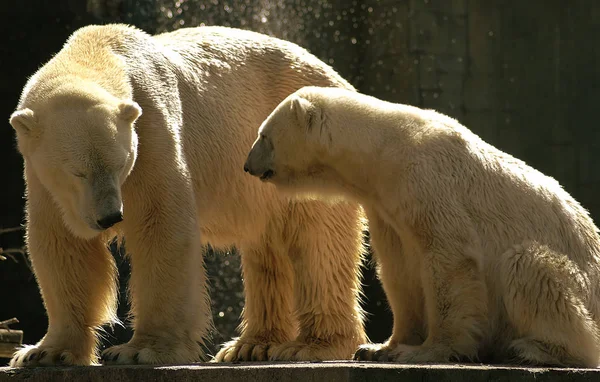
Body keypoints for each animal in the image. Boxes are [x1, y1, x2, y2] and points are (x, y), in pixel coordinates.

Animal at [9, 24, 366, 368]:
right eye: (76, 172)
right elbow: (62, 245)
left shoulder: (153, 130)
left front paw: (140, 350)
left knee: (317, 242)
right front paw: (45, 352)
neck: (99, 49)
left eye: (121, 163)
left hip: (305, 152)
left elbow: (160, 227)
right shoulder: (44, 182)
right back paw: (252, 345)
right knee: (269, 249)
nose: (110, 216)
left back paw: (312, 344)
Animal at [243, 86, 600, 368]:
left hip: (581, 289)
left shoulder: (427, 181)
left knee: (529, 266)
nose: (247, 166)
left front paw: (427, 350)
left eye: (263, 135)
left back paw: (533, 348)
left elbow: (448, 259)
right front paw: (379, 348)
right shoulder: (385, 206)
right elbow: (400, 271)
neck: (385, 150)